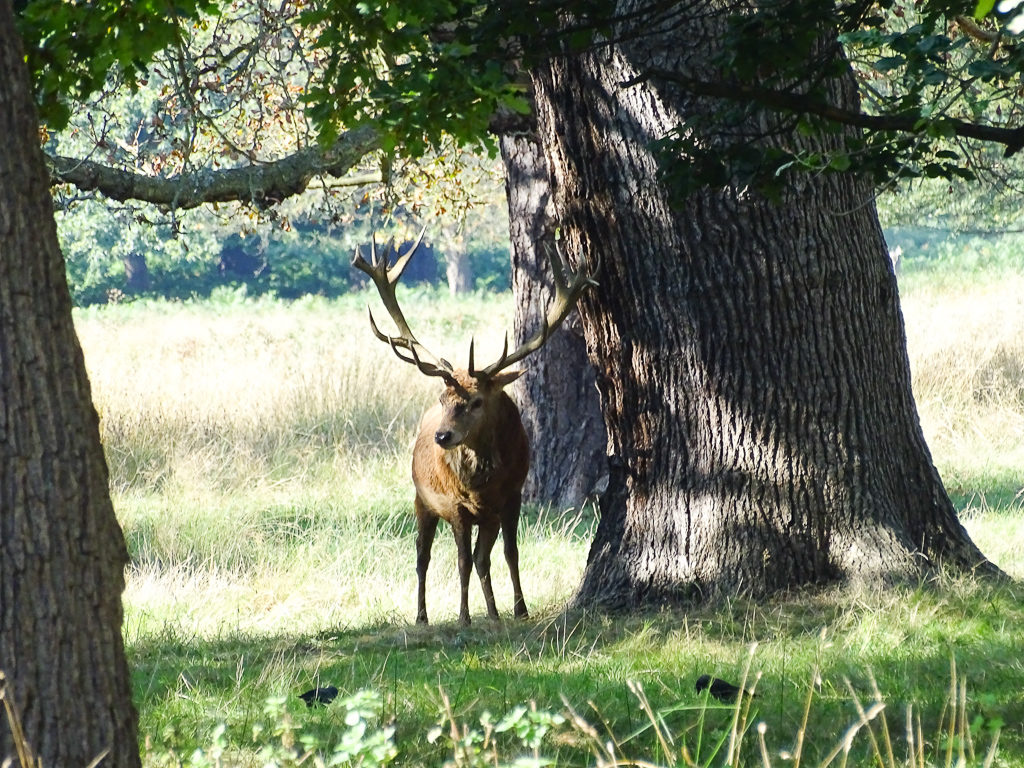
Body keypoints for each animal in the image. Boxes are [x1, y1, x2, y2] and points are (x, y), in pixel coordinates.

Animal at [354, 231, 598, 626]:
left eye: (477, 402)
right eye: (443, 398)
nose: (442, 437)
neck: (482, 485)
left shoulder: (510, 497)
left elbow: (508, 554)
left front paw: (517, 610)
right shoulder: (456, 507)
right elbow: (462, 562)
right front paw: (464, 617)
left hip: (484, 515)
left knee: (482, 558)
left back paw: (494, 612)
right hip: (421, 499)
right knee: (422, 557)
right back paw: (422, 615)